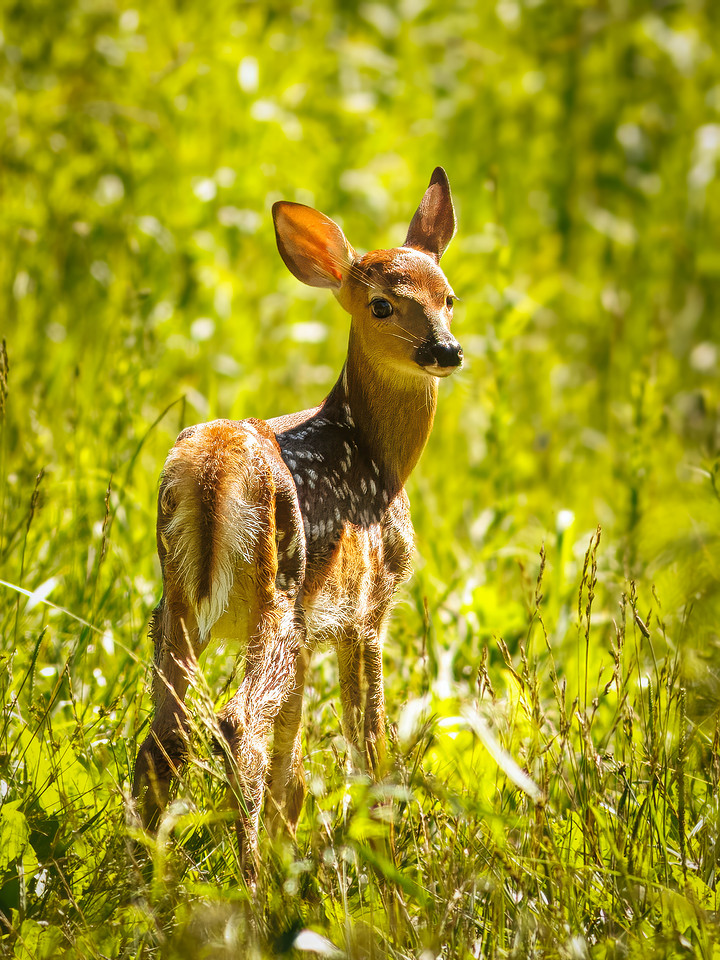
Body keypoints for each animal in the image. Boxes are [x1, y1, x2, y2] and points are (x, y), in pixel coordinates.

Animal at [132, 167, 463, 880]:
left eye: (449, 297)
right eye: (382, 305)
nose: (446, 351)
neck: (378, 456)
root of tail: (212, 474)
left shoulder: (314, 629)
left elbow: (295, 768)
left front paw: (298, 863)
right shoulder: (366, 610)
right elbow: (369, 747)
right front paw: (384, 869)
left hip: (177, 606)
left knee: (166, 738)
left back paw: (145, 881)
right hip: (275, 593)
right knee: (235, 725)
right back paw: (250, 890)